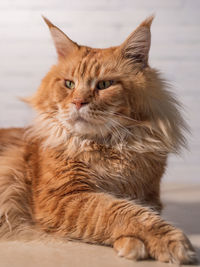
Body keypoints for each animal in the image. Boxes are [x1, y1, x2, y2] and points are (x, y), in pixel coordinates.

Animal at [0, 15, 197, 264]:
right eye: (69, 84)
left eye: (104, 85)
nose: (78, 102)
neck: (109, 147)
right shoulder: (63, 198)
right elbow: (119, 211)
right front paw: (168, 242)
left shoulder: (150, 195)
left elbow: (134, 209)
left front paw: (131, 243)